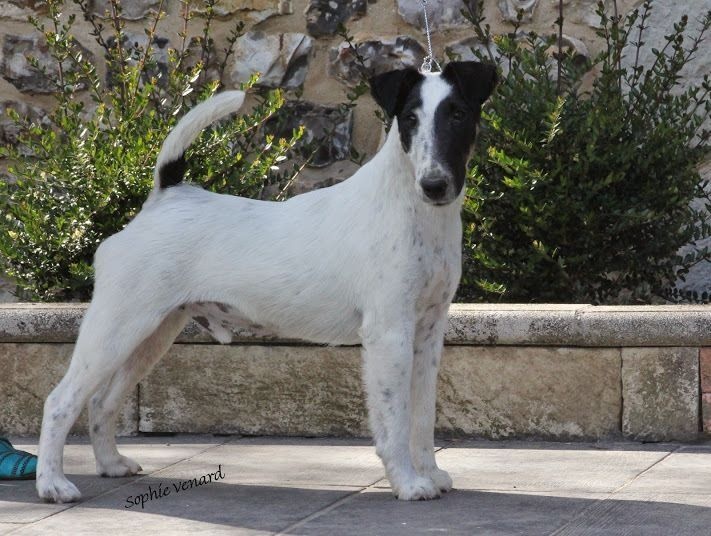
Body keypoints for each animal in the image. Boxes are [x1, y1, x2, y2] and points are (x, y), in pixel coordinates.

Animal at [36, 61, 497, 503]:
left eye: (458, 114)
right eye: (410, 118)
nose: (434, 185)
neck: (412, 210)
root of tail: (164, 197)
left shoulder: (427, 333)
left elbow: (422, 416)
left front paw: (430, 473)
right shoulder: (389, 333)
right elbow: (395, 419)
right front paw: (407, 483)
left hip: (152, 335)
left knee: (101, 402)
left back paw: (111, 464)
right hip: (117, 328)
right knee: (60, 401)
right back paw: (53, 485)